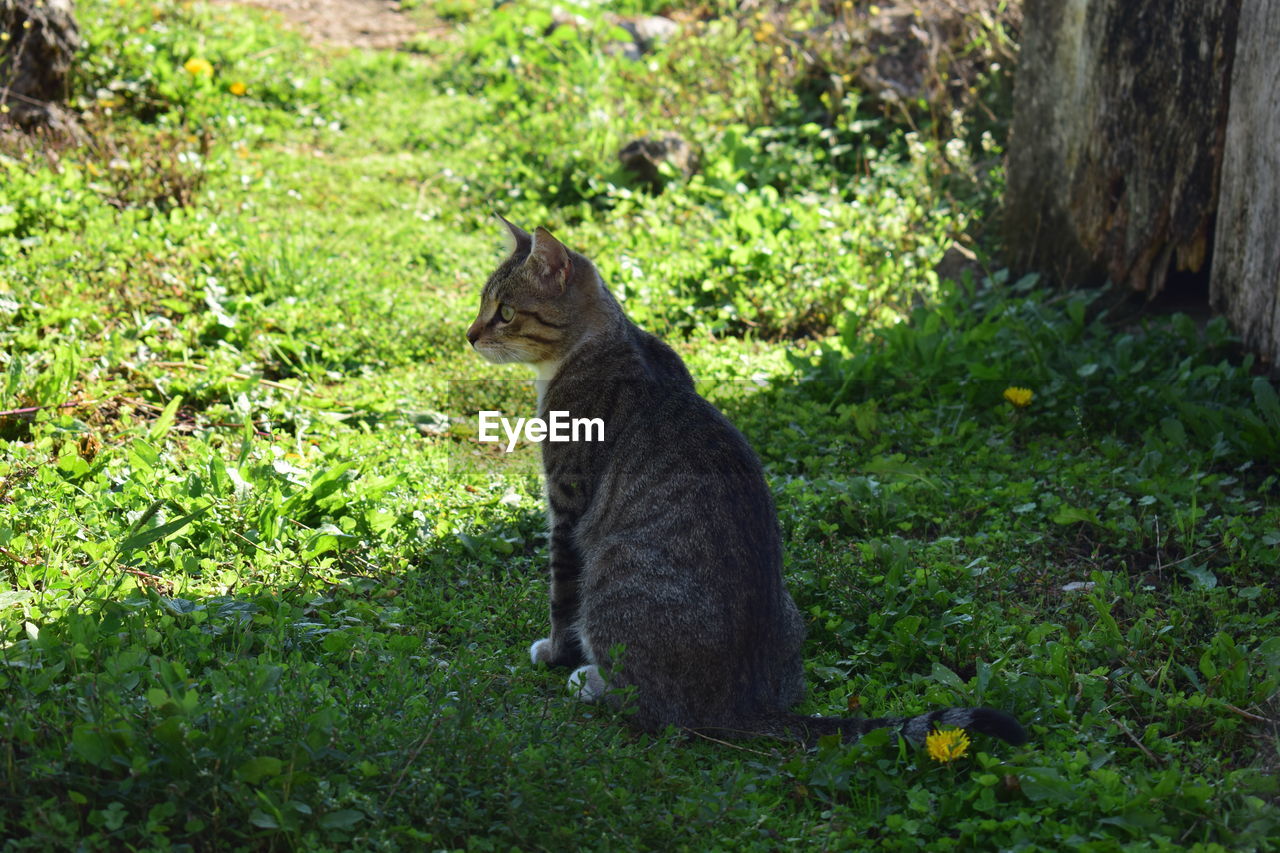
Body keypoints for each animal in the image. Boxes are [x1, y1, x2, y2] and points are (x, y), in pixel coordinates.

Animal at [465, 216, 1024, 747]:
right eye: (482, 303)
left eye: (506, 311)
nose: (470, 335)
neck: (603, 342)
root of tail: (746, 704)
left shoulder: (566, 505)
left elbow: (561, 596)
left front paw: (556, 653)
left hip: (613, 573)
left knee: (648, 706)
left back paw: (589, 682)